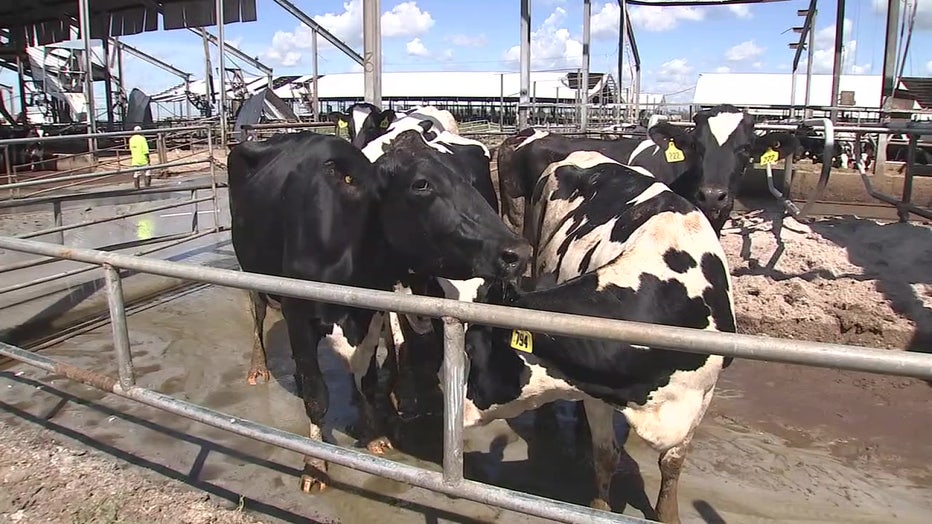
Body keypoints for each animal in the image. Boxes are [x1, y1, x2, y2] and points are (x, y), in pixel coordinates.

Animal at [228, 129, 532, 494]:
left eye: (469, 180)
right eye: (421, 184)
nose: (518, 251)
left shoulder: (371, 311)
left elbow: (368, 380)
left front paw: (373, 434)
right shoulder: (298, 311)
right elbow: (317, 396)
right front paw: (315, 464)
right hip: (250, 271)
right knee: (257, 313)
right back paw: (258, 368)